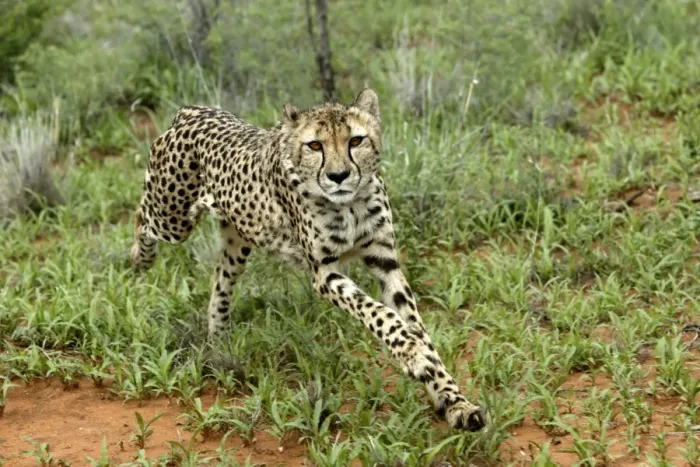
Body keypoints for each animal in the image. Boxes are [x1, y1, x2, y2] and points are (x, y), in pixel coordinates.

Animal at [128, 89, 487, 431]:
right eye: (315, 145)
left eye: (356, 141)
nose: (339, 175)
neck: (350, 204)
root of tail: (194, 110)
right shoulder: (324, 272)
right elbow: (381, 315)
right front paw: (415, 357)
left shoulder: (385, 261)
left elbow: (415, 324)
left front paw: (452, 400)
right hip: (172, 218)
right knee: (141, 216)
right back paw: (138, 260)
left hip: (238, 239)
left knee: (220, 282)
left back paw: (218, 340)